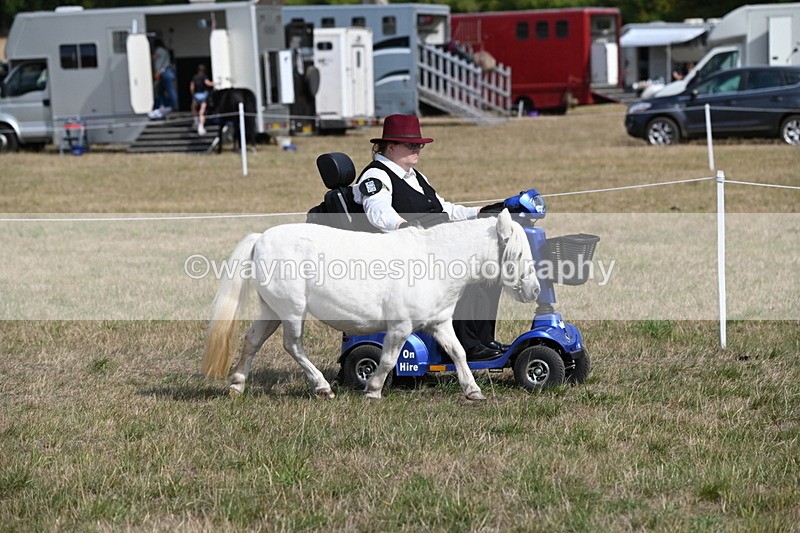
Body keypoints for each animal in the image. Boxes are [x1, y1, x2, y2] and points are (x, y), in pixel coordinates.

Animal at [201, 210, 540, 401]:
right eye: (518, 253)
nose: (535, 290)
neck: (434, 262)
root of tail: (261, 239)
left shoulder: (440, 322)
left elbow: (458, 353)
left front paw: (473, 391)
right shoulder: (400, 326)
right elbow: (388, 359)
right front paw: (373, 389)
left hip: (272, 310)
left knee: (252, 341)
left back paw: (237, 385)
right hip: (292, 311)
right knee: (293, 345)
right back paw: (322, 387)